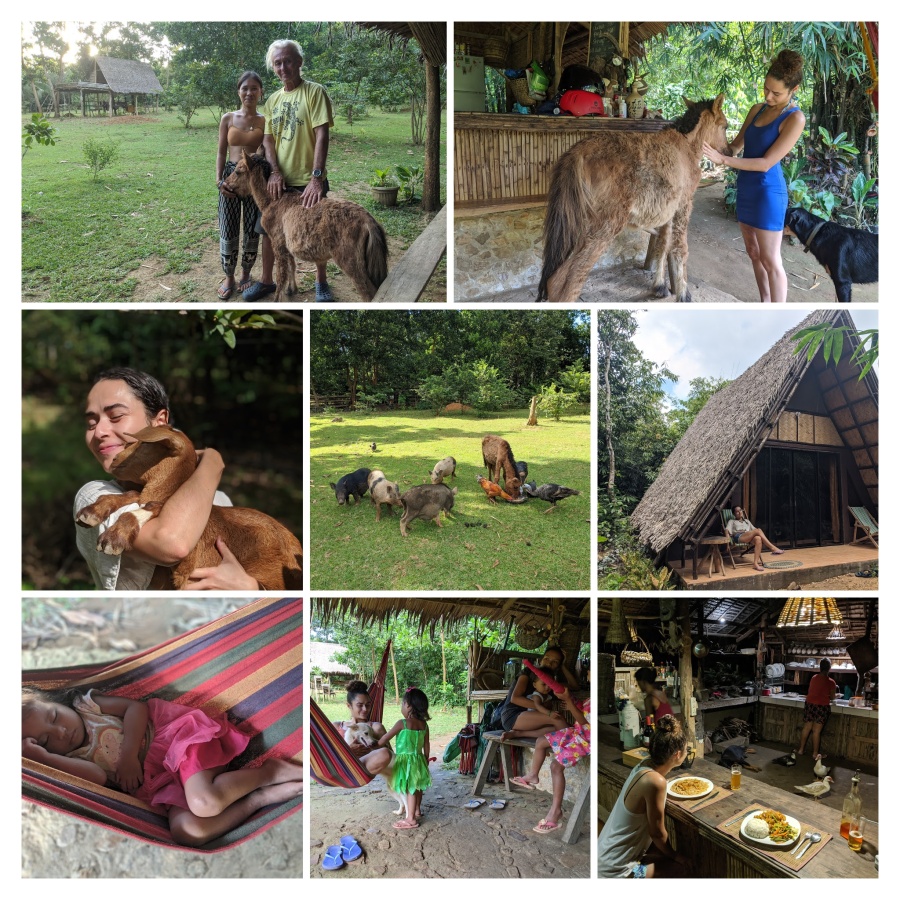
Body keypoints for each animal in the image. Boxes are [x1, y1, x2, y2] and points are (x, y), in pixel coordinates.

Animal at [75, 424, 304, 592]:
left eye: (143, 444)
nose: (114, 458)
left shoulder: (189, 564)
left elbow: (152, 505)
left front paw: (113, 538)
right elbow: (132, 495)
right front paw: (91, 512)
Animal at [225, 149, 386, 300]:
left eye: (238, 171)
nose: (225, 184)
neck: (274, 200)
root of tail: (368, 221)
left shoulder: (277, 243)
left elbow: (281, 276)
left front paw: (278, 300)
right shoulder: (286, 243)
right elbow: (292, 265)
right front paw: (292, 289)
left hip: (351, 263)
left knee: (369, 292)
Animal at [536, 94, 732, 300]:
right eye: (725, 126)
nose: (730, 152)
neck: (686, 145)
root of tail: (577, 153)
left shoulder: (667, 210)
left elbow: (663, 244)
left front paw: (659, 286)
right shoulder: (684, 205)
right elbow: (680, 248)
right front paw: (683, 294)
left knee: (556, 279)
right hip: (604, 226)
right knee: (569, 279)